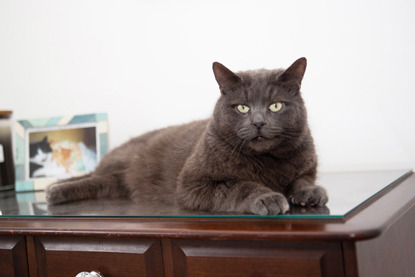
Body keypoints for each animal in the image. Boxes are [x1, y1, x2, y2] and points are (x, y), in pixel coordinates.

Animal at [45, 57, 330, 213]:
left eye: (275, 106)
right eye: (242, 107)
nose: (258, 122)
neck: (267, 161)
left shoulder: (307, 165)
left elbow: (302, 179)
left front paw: (310, 192)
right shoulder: (190, 184)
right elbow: (239, 184)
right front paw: (267, 197)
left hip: (118, 182)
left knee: (101, 182)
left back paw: (55, 190)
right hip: (118, 162)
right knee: (94, 175)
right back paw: (53, 190)